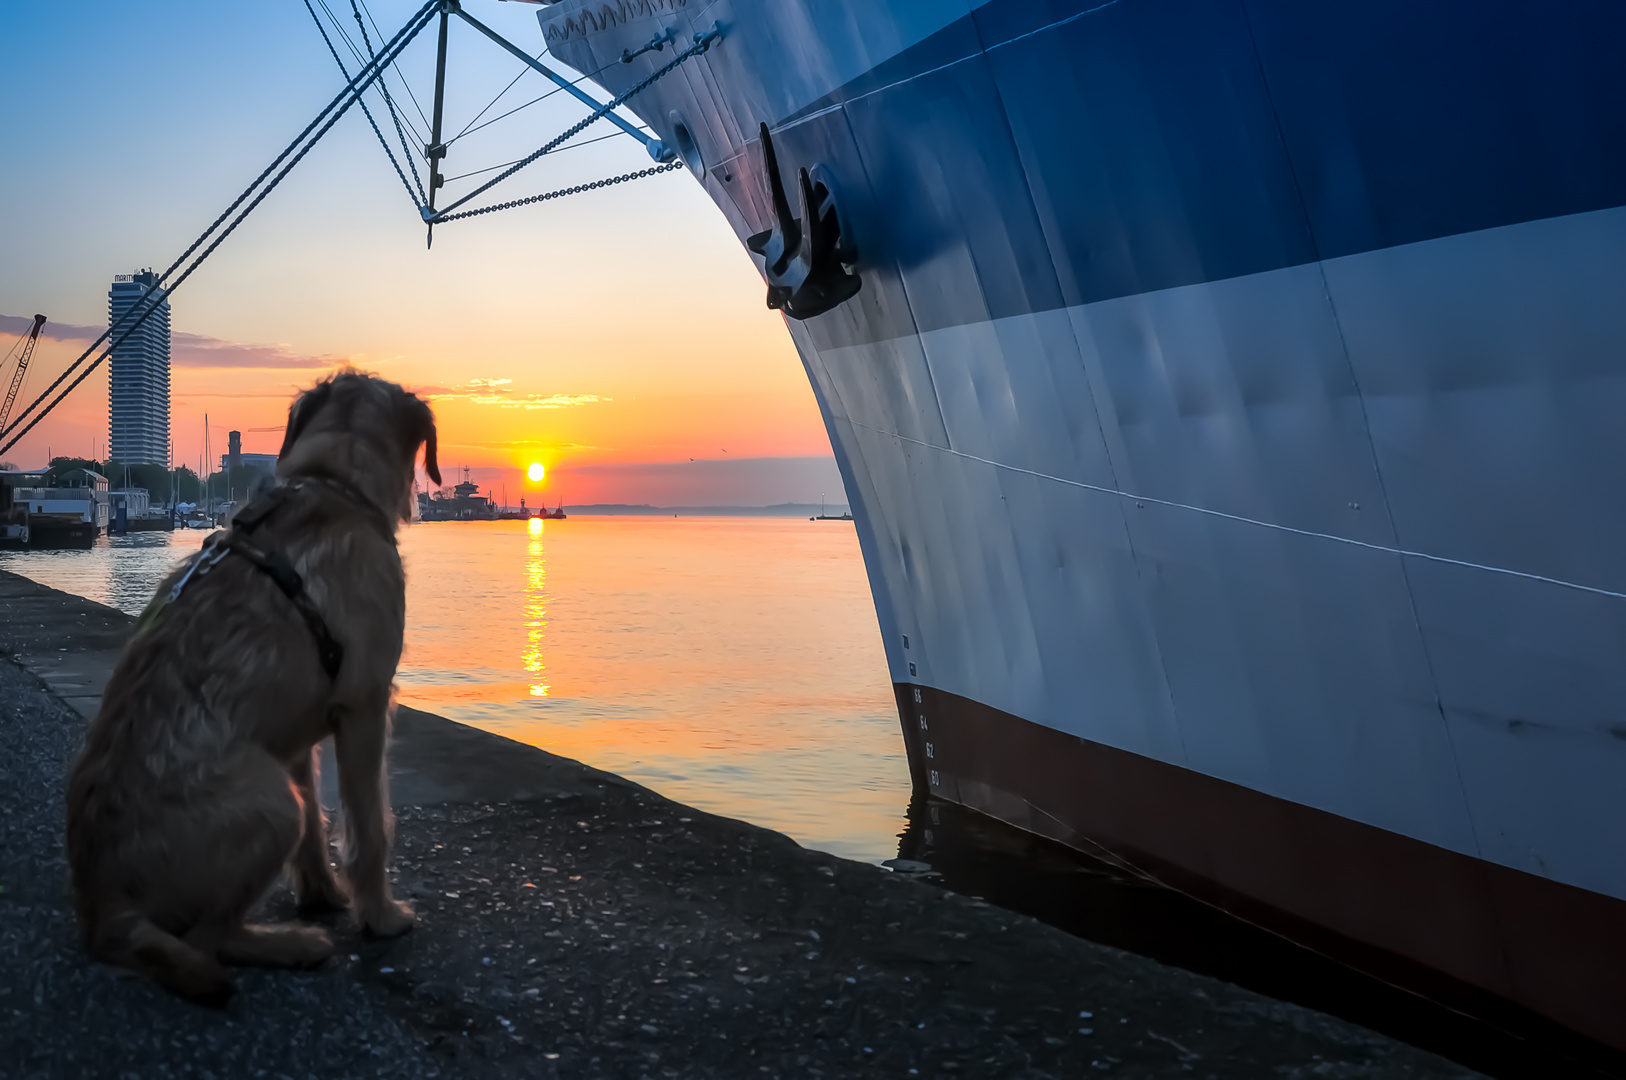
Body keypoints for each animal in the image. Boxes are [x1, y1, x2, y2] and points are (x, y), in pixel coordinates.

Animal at [65, 370, 439, 1001]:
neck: (335, 485)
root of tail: (101, 910)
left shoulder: (293, 733)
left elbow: (317, 829)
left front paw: (322, 895)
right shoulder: (364, 706)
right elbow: (369, 827)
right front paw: (380, 916)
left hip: (275, 786)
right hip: (271, 803)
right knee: (209, 941)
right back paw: (292, 944)